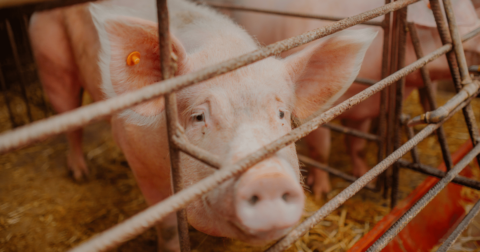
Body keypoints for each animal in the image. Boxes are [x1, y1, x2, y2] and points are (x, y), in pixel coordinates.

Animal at [28, 0, 376, 249]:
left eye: (280, 114)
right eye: (198, 117)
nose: (267, 179)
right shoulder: (136, 155)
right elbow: (168, 226)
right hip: (51, 62)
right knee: (69, 122)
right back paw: (80, 174)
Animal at [232, 0, 480, 199]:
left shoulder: (364, 107)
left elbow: (357, 146)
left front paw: (365, 176)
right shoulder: (315, 116)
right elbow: (321, 151)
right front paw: (321, 192)